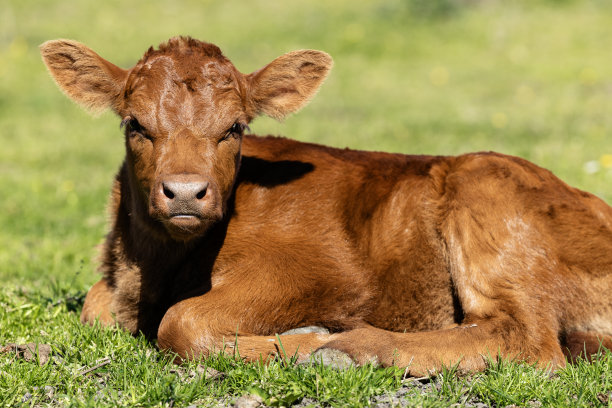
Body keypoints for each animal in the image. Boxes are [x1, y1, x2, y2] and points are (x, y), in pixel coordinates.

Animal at [40, 36, 608, 374]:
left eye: (235, 129)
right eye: (135, 124)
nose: (184, 191)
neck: (153, 271)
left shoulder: (324, 270)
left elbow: (182, 321)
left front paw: (307, 339)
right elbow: (95, 308)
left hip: (486, 191)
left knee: (526, 337)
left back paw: (350, 347)